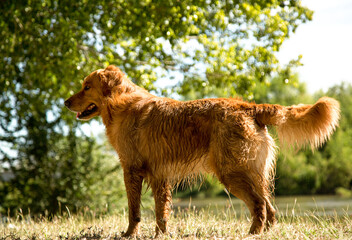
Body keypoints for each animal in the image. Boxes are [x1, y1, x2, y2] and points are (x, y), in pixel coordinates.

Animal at [64, 65, 340, 236]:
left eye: (86, 86)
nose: (65, 102)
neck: (121, 103)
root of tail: (248, 106)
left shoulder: (131, 169)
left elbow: (134, 211)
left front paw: (129, 234)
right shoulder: (159, 175)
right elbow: (161, 211)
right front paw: (161, 234)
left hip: (232, 173)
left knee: (259, 206)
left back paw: (251, 234)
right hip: (252, 172)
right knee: (269, 207)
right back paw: (265, 233)